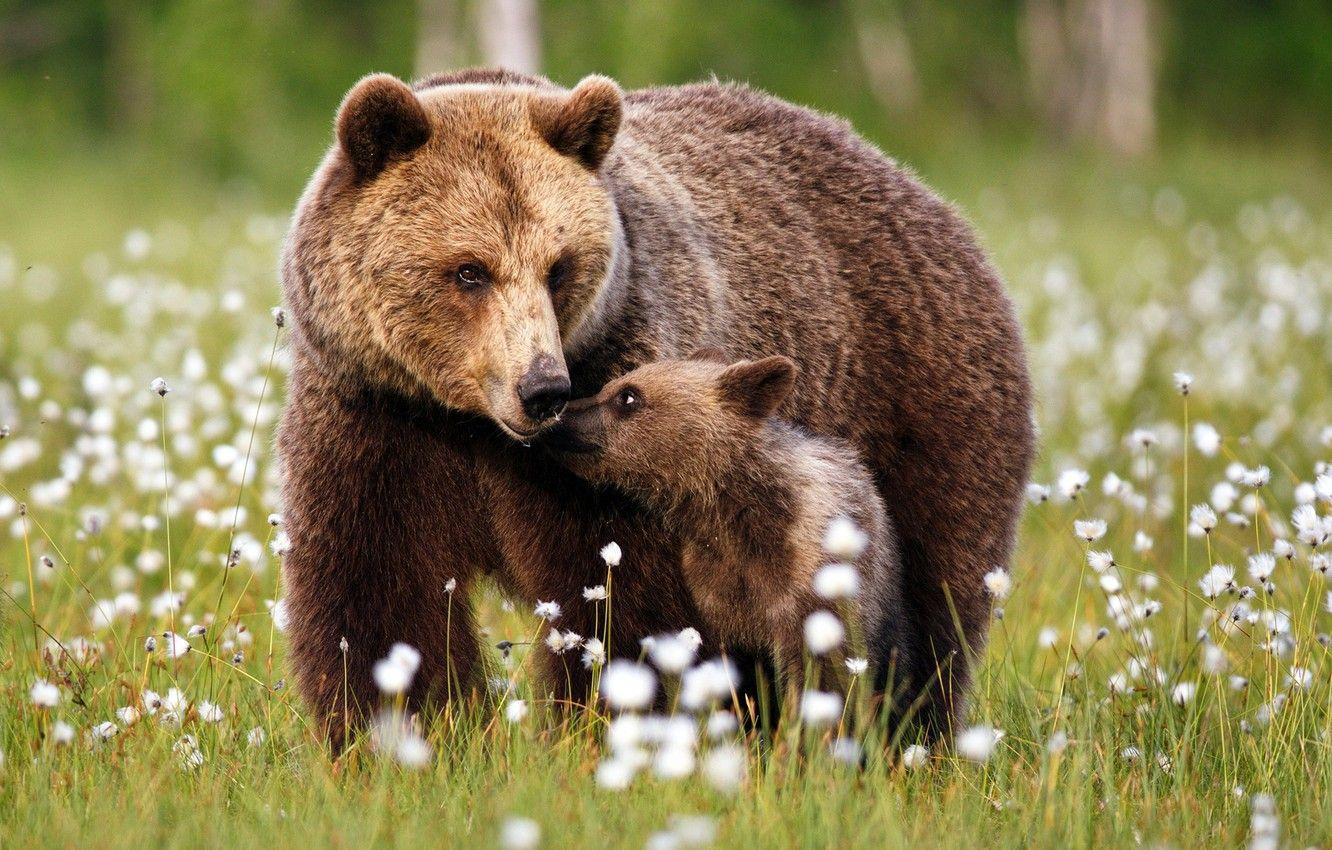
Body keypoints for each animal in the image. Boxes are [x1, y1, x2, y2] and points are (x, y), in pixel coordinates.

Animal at [544, 353, 913, 713]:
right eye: (612, 386)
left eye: (628, 395)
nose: (559, 415)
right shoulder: (714, 587)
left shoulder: (814, 589)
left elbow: (822, 674)